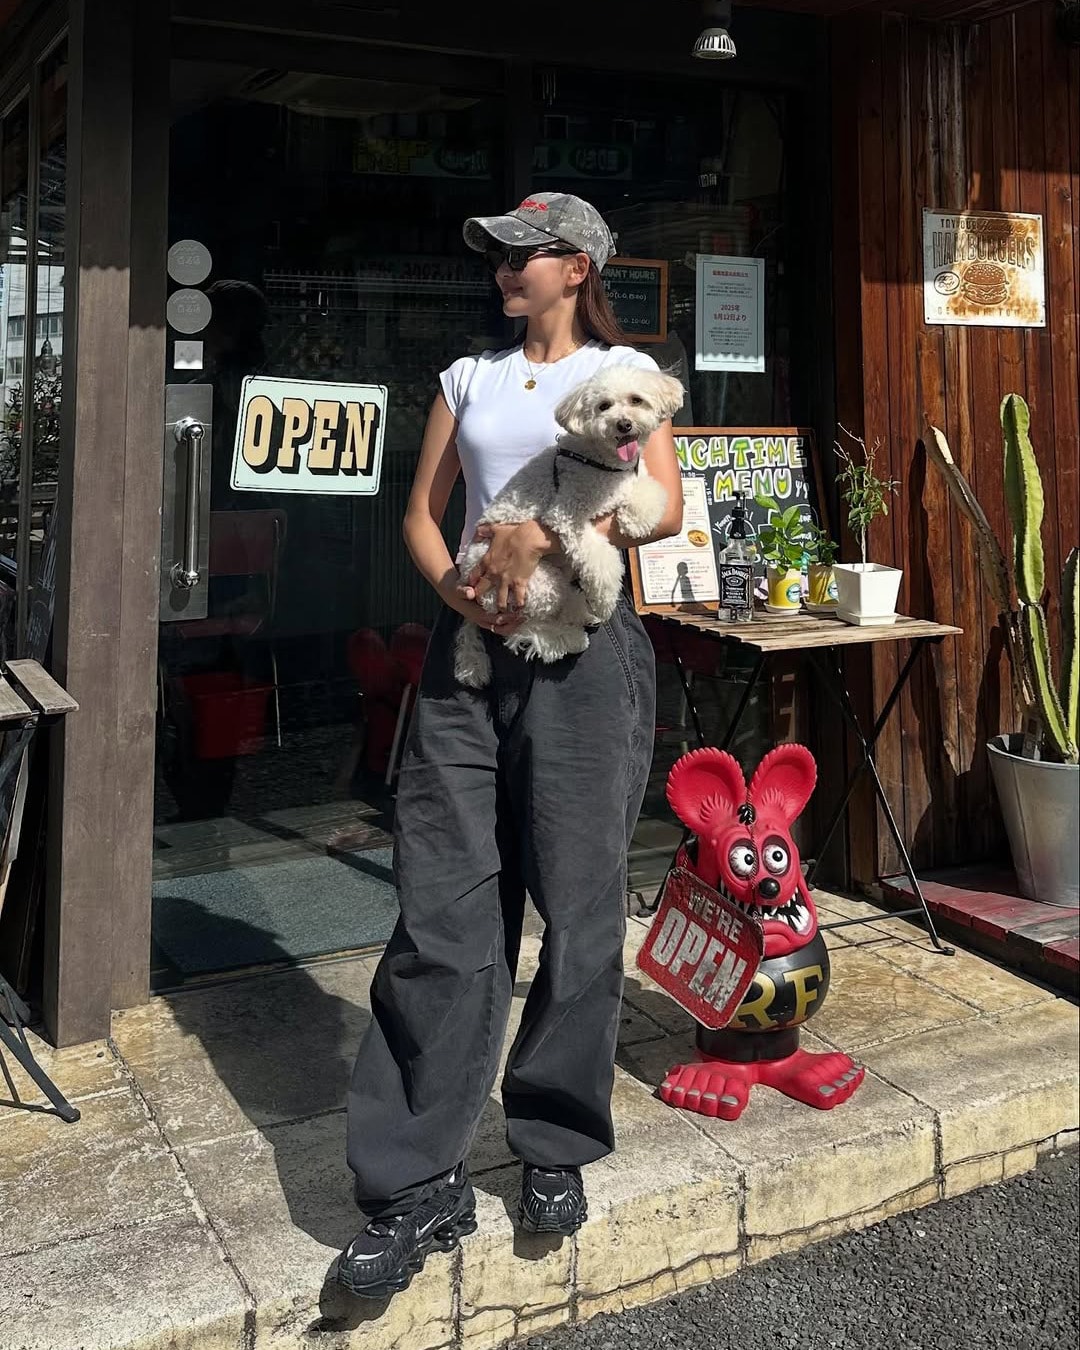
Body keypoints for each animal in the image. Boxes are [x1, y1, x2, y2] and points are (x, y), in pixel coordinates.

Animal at [454, 365, 684, 688]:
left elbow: (651, 492)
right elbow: (601, 561)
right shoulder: (565, 516)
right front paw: (604, 599)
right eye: (603, 406)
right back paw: (572, 636)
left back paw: (584, 614)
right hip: (533, 584)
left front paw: (637, 520)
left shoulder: (634, 481)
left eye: (636, 400)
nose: (623, 424)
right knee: (525, 629)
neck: (602, 461)